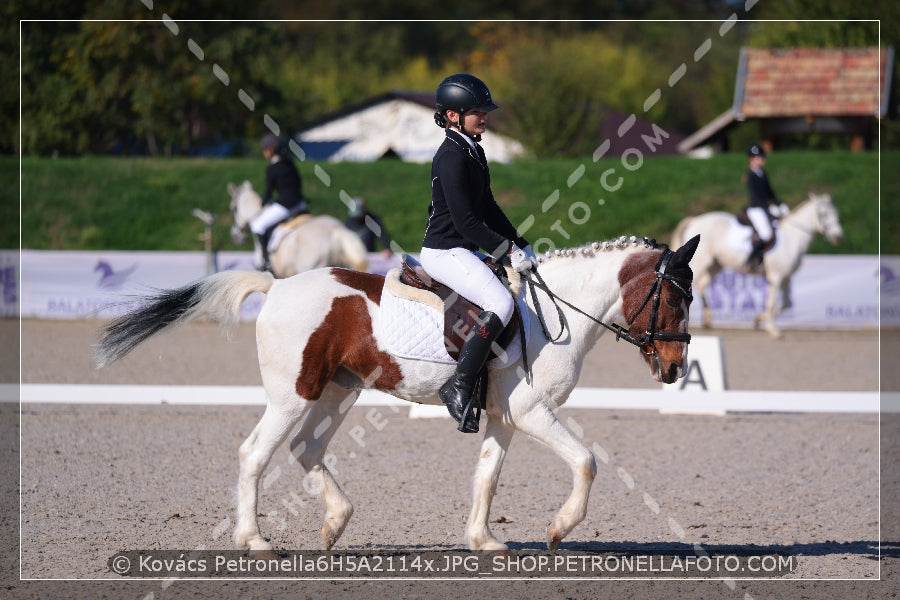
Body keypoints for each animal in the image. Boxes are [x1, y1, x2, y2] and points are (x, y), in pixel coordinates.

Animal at [98, 234, 704, 552]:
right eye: (676, 300)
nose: (677, 369)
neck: (551, 315)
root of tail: (277, 285)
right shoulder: (533, 411)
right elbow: (586, 461)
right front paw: (558, 530)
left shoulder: (504, 416)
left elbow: (487, 475)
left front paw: (483, 540)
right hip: (293, 394)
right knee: (255, 453)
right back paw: (254, 539)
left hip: (338, 392)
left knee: (305, 448)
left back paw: (335, 523)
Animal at [676, 195, 844, 340]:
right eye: (823, 214)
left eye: (836, 213)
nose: (838, 238)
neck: (792, 238)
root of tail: (695, 220)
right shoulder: (776, 277)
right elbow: (772, 303)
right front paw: (773, 330)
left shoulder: (786, 277)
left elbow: (786, 303)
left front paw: (758, 320)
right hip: (700, 262)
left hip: (716, 264)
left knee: (702, 285)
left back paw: (707, 320)